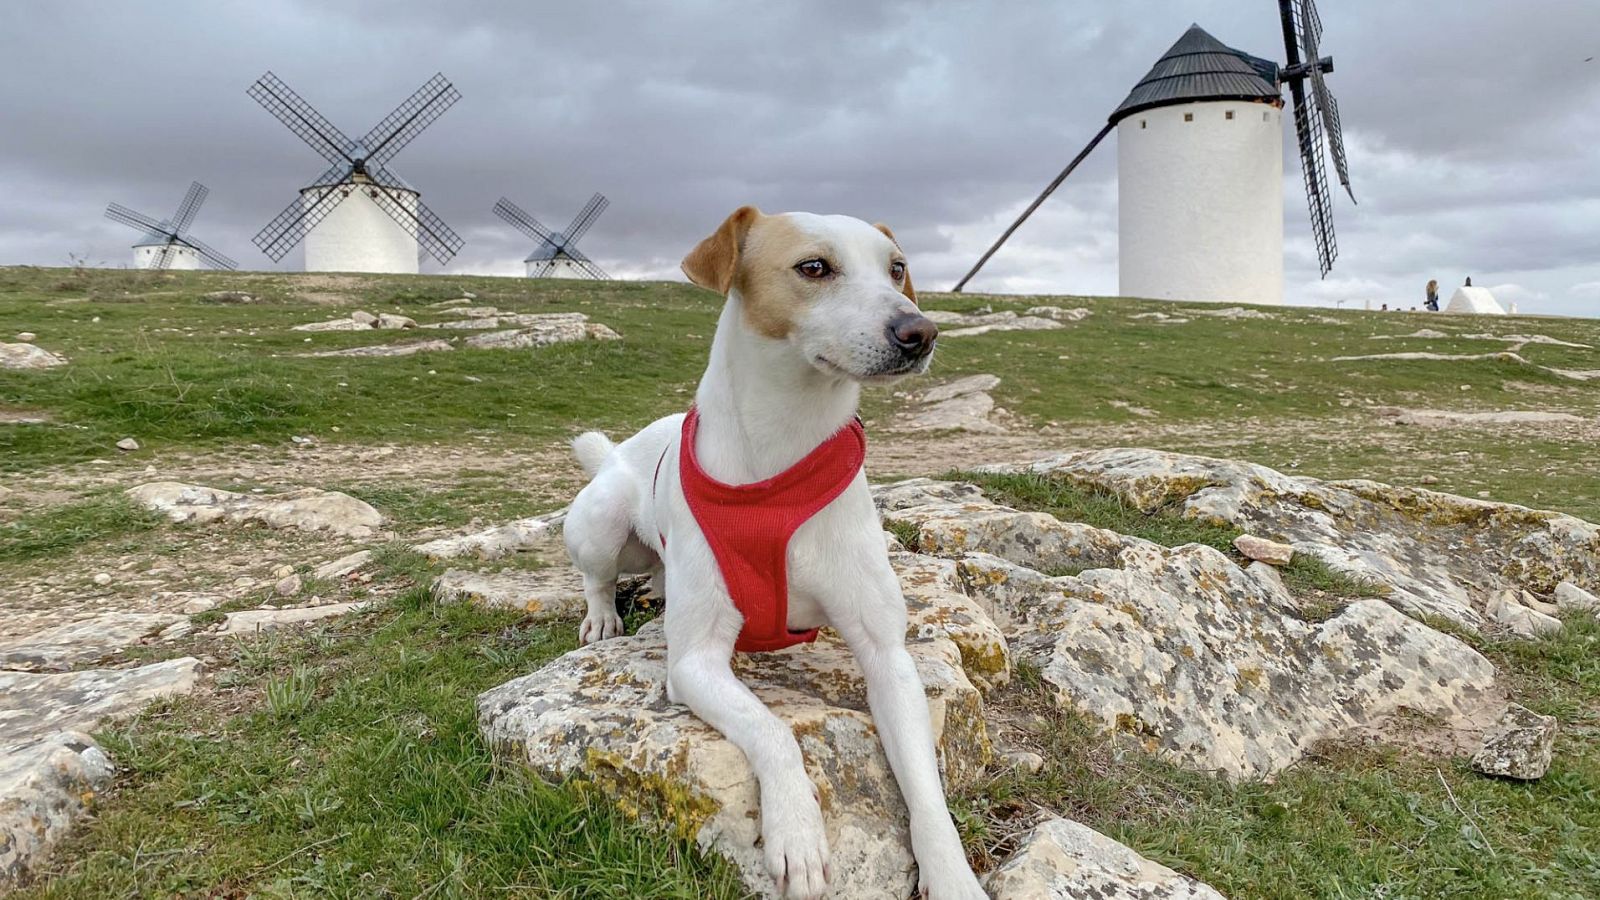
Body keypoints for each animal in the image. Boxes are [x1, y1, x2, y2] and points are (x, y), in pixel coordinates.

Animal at [563, 206, 985, 890]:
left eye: (897, 268)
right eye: (814, 267)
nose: (920, 331)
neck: (783, 457)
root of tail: (619, 451)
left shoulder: (889, 658)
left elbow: (927, 794)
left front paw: (952, 877)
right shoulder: (695, 663)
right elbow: (773, 730)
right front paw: (799, 832)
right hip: (601, 521)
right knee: (598, 576)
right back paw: (604, 614)